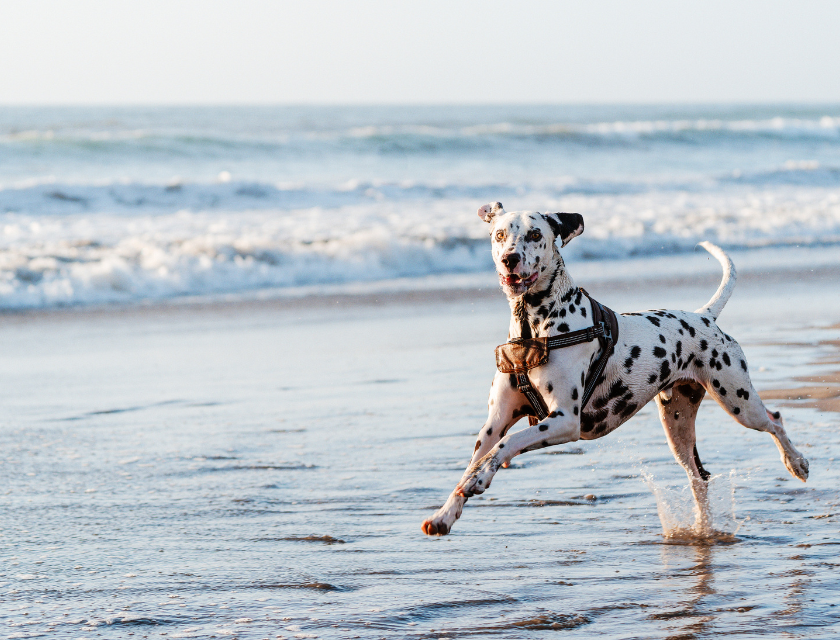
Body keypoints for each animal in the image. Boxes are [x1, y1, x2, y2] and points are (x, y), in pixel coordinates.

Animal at [424, 202, 812, 536]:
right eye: (500, 235)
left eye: (535, 234)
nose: (510, 259)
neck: (533, 328)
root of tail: (704, 316)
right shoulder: (494, 422)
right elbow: (480, 455)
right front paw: (446, 513)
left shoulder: (564, 421)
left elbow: (509, 443)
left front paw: (479, 479)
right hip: (678, 427)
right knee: (698, 477)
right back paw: (702, 529)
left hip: (739, 401)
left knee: (775, 420)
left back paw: (796, 463)